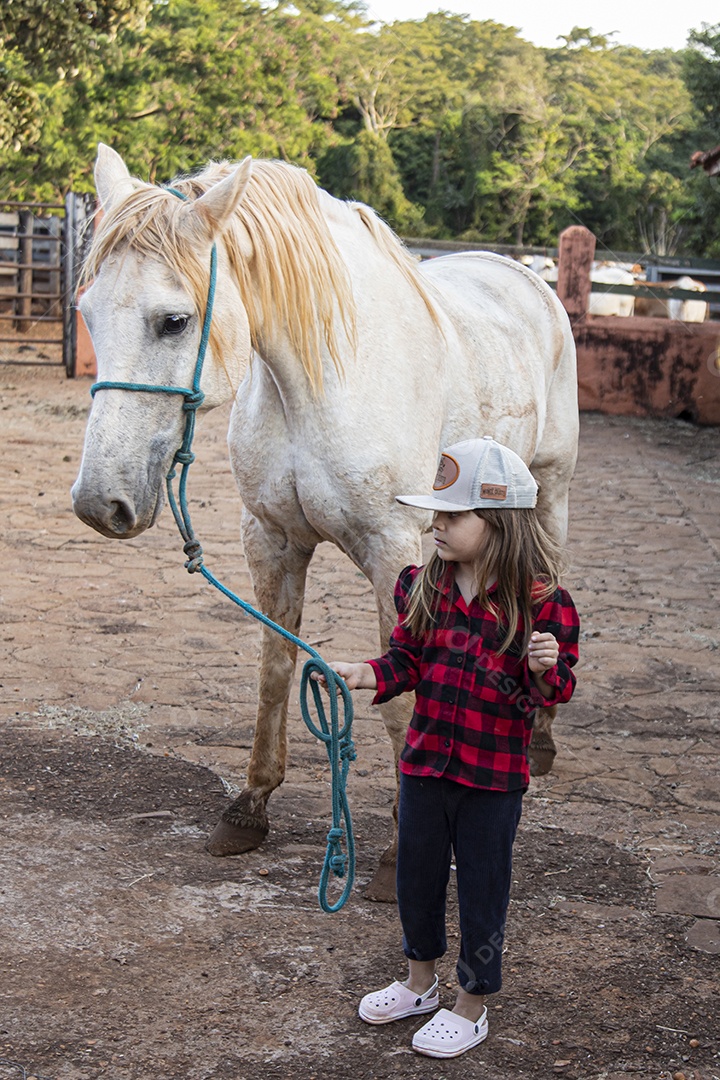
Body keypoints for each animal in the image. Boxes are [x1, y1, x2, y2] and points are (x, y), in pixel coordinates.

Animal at [72, 144, 579, 901]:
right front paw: (249, 808)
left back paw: (540, 736)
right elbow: (275, 667)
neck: (318, 382)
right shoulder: (271, 540)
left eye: (175, 321)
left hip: (549, 497)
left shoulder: (394, 551)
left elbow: (402, 699)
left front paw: (400, 856)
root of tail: (524, 276)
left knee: (548, 592)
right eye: (87, 312)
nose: (98, 502)